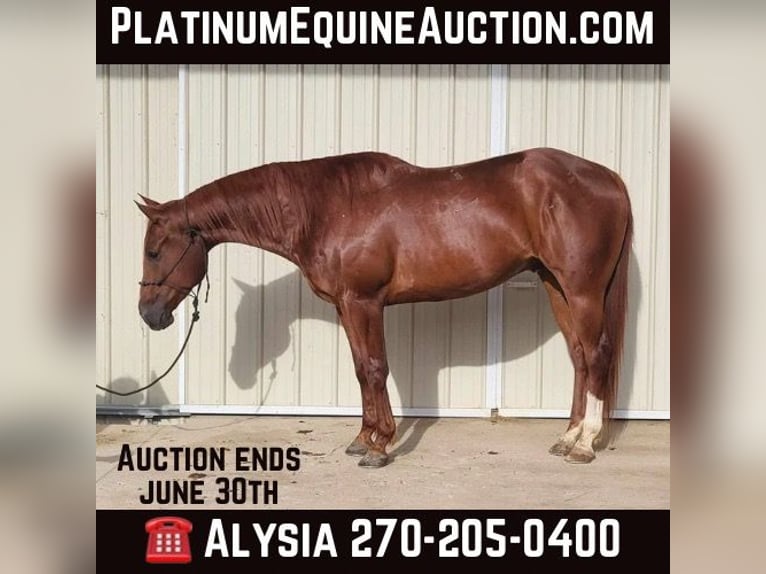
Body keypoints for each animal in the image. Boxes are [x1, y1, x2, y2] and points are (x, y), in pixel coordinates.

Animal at [136, 148, 633, 468]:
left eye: (155, 251)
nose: (148, 315)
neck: (323, 208)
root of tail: (609, 178)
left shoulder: (364, 302)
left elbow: (376, 368)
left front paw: (380, 447)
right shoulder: (346, 307)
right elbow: (361, 370)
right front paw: (362, 439)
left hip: (583, 290)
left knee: (598, 355)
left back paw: (585, 444)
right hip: (555, 285)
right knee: (580, 358)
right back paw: (567, 437)